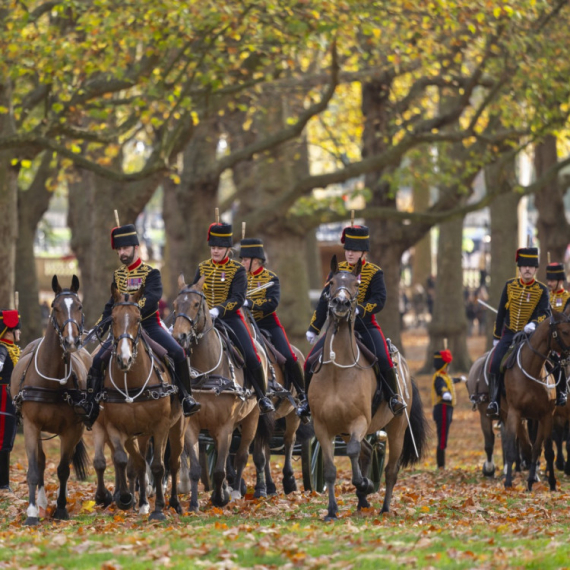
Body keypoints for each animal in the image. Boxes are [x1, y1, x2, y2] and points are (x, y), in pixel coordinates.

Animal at [9, 276, 90, 524]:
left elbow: (63, 469)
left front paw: (61, 508)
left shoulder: (73, 429)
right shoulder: (31, 425)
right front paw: (32, 512)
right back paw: (42, 503)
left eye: (79, 306)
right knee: (42, 460)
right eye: (55, 308)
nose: (71, 340)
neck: (54, 380)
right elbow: (35, 468)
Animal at [92, 284, 183, 520]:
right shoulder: (116, 427)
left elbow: (158, 466)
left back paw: (174, 503)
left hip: (177, 427)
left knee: (173, 462)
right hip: (139, 433)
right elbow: (125, 460)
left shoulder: (160, 426)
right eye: (113, 319)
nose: (124, 359)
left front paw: (158, 508)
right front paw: (125, 498)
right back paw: (140, 502)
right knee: (139, 462)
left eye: (138, 319)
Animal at [171, 272, 262, 508]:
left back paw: (237, 490)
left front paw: (220, 499)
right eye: (175, 304)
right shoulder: (192, 426)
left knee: (241, 455)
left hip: (252, 418)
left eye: (196, 304)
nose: (179, 337)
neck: (207, 374)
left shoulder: (225, 427)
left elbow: (220, 469)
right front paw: (194, 503)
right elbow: (195, 468)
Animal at [306, 258, 426, 520]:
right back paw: (362, 500)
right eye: (331, 283)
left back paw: (384, 506)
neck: (337, 372)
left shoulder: (359, 420)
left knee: (390, 470)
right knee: (368, 451)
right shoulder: (322, 427)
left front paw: (364, 483)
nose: (341, 303)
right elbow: (330, 470)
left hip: (397, 428)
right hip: (345, 429)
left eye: (356, 284)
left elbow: (352, 451)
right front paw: (332, 511)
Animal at [500, 308, 568, 490]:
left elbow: (546, 450)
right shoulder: (514, 413)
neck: (532, 369)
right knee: (521, 445)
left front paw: (551, 483)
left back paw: (532, 477)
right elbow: (511, 448)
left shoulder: (547, 415)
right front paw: (508, 483)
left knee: (534, 447)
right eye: (565, 331)